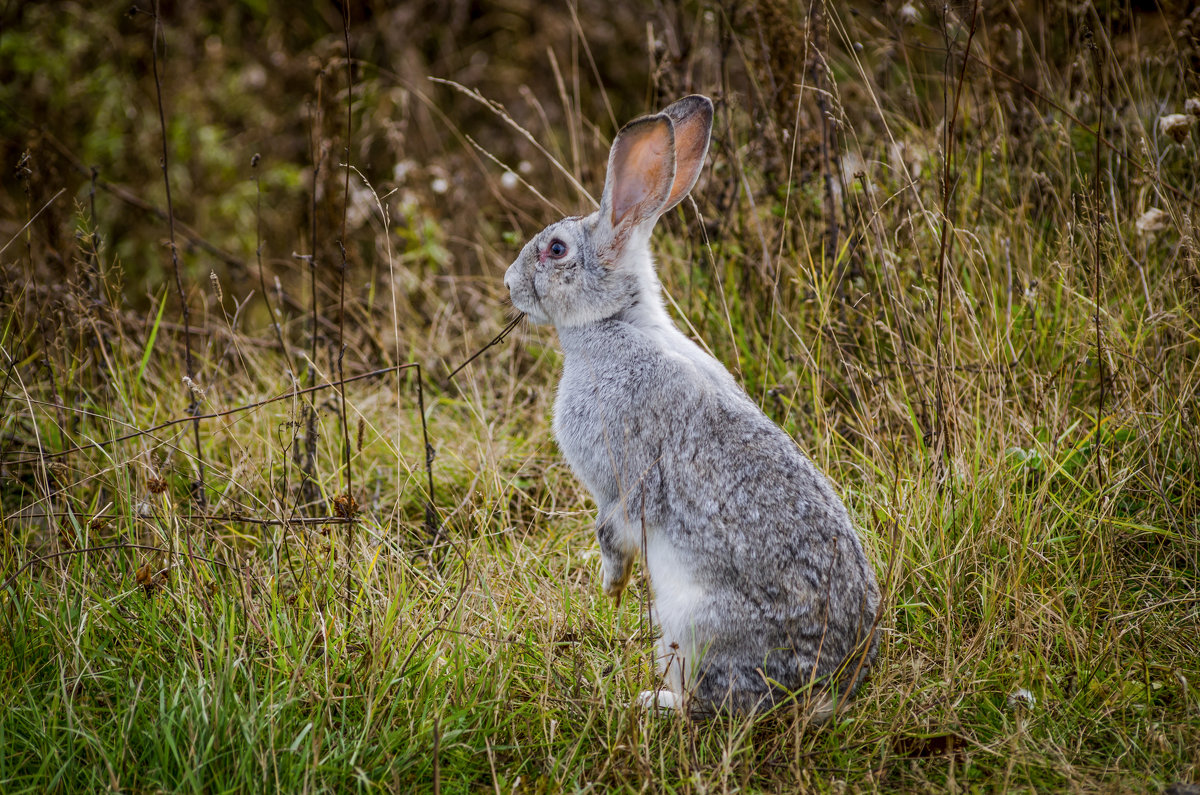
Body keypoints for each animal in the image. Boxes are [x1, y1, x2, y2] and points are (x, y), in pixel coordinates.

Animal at [501, 96, 878, 720]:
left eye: (555, 250)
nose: (509, 284)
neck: (616, 323)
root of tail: (822, 687)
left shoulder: (619, 478)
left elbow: (613, 529)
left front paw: (610, 589)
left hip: (692, 622)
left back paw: (652, 701)